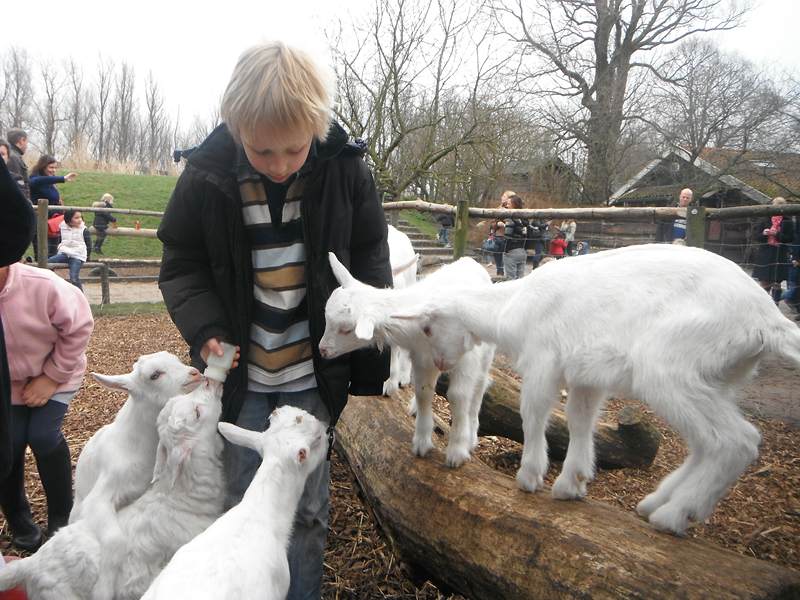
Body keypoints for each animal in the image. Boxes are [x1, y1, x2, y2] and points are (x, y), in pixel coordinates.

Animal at [318, 253, 494, 468]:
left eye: (346, 330)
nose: (322, 350)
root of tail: (470, 260)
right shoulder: (421, 357)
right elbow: (423, 392)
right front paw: (422, 442)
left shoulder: (467, 360)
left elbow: (458, 396)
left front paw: (457, 451)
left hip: (485, 352)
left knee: (480, 387)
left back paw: (472, 434)